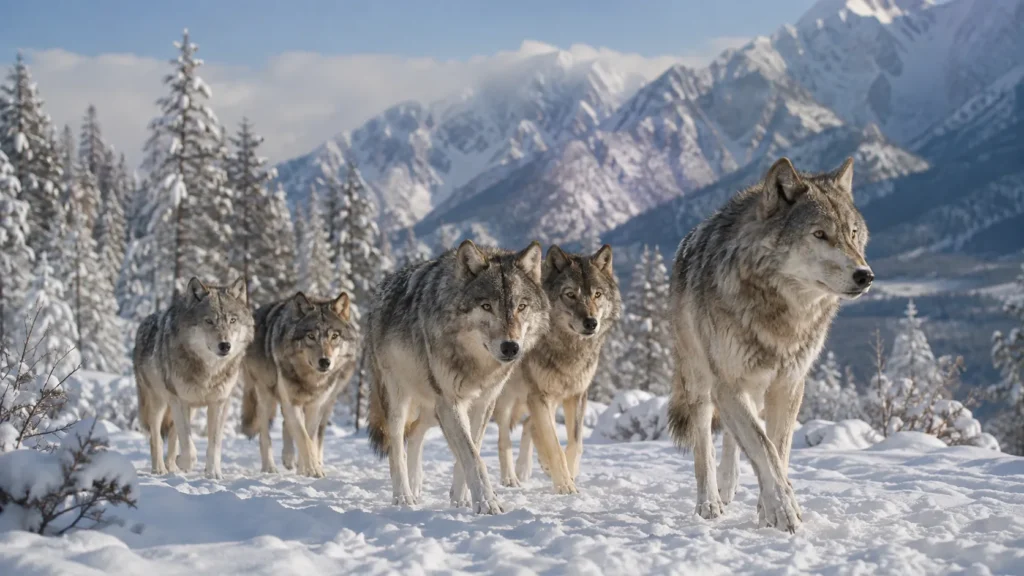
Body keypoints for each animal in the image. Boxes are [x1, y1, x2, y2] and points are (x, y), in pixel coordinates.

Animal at [134, 277, 254, 479]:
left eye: (232, 320)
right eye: (209, 321)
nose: (225, 345)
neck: (209, 372)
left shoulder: (219, 403)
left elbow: (214, 444)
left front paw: (213, 473)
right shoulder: (179, 401)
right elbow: (189, 449)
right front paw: (184, 462)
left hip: (189, 410)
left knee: (173, 436)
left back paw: (172, 467)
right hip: (159, 403)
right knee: (156, 437)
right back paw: (160, 468)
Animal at [240, 291, 359, 478]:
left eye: (334, 336)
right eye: (311, 336)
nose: (325, 362)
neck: (311, 380)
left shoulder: (315, 406)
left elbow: (309, 437)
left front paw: (306, 469)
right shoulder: (292, 402)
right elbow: (304, 438)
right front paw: (312, 470)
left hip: (328, 402)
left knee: (295, 428)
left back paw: (291, 461)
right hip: (265, 396)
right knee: (265, 434)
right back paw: (270, 467)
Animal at [366, 239, 550, 514]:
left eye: (521, 307)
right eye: (487, 306)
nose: (511, 347)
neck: (477, 366)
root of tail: (380, 289)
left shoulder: (483, 403)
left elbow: (473, 448)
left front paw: (461, 499)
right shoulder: (451, 402)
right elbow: (473, 457)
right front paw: (487, 503)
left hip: (432, 408)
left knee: (416, 433)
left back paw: (417, 485)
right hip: (399, 399)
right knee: (397, 446)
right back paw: (404, 496)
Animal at [492, 244, 621, 494]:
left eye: (597, 294)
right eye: (570, 294)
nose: (591, 323)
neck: (568, 349)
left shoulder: (577, 394)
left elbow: (575, 443)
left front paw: (569, 475)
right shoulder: (539, 395)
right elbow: (553, 443)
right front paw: (564, 485)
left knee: (529, 426)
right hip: (506, 398)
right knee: (505, 437)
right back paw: (511, 478)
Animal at [667, 157, 873, 533]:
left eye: (852, 233)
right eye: (819, 234)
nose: (865, 275)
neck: (782, 314)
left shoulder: (789, 385)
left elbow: (777, 449)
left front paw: (768, 510)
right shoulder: (729, 384)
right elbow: (764, 448)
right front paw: (784, 510)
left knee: (734, 436)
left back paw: (729, 484)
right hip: (700, 382)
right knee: (705, 443)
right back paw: (710, 502)